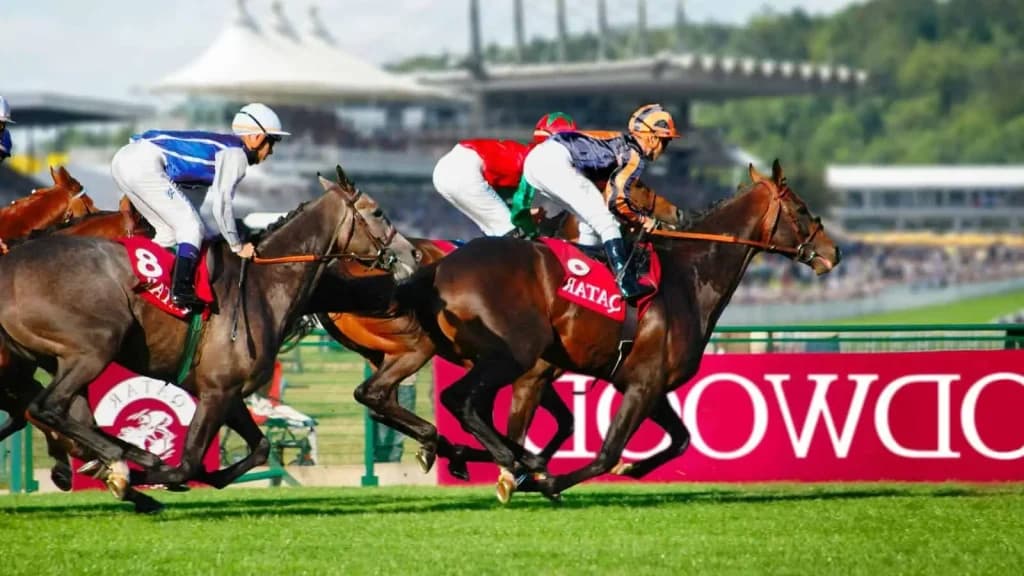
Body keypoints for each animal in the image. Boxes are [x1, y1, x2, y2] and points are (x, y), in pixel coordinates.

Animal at [0, 167, 419, 509]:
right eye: (378, 212)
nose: (412, 253)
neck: (263, 284)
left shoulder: (228, 392)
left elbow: (260, 447)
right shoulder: (217, 390)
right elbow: (186, 463)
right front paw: (145, 476)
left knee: (53, 412)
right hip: (94, 349)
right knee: (46, 406)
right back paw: (126, 461)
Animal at [381, 160, 840, 501]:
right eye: (801, 210)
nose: (833, 252)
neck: (688, 274)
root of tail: (437, 268)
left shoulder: (646, 382)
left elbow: (681, 438)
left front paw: (631, 466)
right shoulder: (636, 383)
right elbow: (606, 451)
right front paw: (546, 480)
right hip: (511, 354)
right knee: (459, 400)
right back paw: (512, 461)